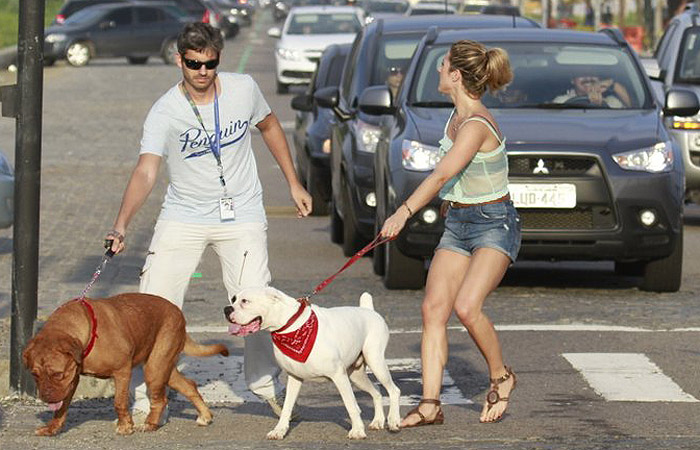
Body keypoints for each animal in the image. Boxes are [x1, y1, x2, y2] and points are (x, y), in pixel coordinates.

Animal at [21, 292, 228, 436]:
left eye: (57, 374)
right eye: (35, 375)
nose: (46, 396)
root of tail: (177, 311)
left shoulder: (121, 372)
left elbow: (119, 402)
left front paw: (126, 426)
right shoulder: (72, 380)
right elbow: (62, 408)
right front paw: (52, 428)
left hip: (154, 369)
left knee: (160, 400)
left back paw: (151, 424)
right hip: (164, 369)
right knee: (188, 386)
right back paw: (205, 415)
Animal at [224, 288, 400, 440]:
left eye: (245, 301)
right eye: (233, 299)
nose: (226, 309)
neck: (291, 327)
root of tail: (368, 310)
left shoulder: (339, 376)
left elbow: (351, 404)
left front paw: (357, 430)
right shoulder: (294, 378)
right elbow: (286, 408)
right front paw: (279, 430)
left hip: (375, 362)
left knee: (393, 390)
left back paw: (393, 420)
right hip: (356, 376)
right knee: (376, 391)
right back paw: (378, 421)